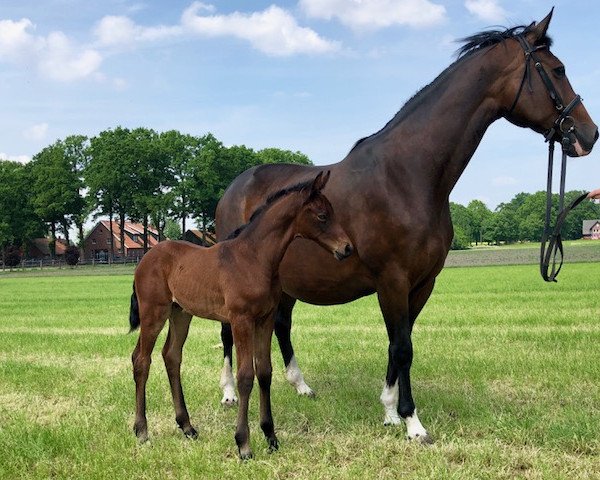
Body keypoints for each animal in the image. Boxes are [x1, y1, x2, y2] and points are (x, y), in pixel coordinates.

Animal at [127, 172, 352, 458]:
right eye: (323, 215)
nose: (347, 248)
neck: (253, 258)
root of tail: (146, 257)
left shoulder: (265, 319)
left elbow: (264, 371)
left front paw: (271, 437)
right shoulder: (241, 320)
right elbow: (245, 376)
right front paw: (244, 444)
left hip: (181, 314)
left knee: (171, 356)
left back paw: (187, 427)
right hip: (153, 312)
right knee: (141, 359)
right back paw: (142, 430)